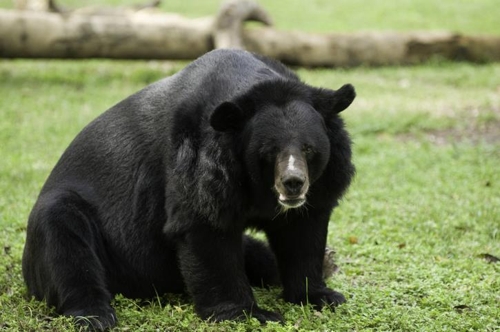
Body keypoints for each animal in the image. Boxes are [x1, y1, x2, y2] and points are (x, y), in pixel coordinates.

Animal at [23, 49, 356, 330]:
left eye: (308, 149)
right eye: (269, 151)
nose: (293, 183)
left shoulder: (321, 185)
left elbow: (303, 231)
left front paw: (321, 295)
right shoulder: (198, 162)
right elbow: (204, 227)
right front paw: (250, 313)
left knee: (256, 254)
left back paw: (328, 262)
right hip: (75, 225)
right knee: (65, 240)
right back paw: (96, 316)